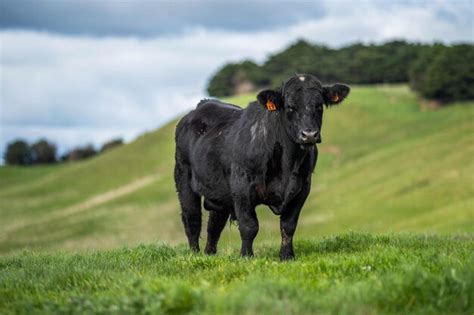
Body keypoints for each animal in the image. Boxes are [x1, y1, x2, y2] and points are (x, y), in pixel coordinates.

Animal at [174, 74, 348, 262]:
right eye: (289, 107)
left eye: (319, 105)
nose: (309, 134)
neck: (287, 164)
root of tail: (203, 104)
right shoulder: (241, 187)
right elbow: (249, 226)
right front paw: (246, 256)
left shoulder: (302, 188)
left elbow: (288, 225)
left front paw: (287, 256)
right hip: (183, 177)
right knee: (192, 218)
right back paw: (195, 254)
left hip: (218, 191)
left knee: (214, 224)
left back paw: (209, 254)